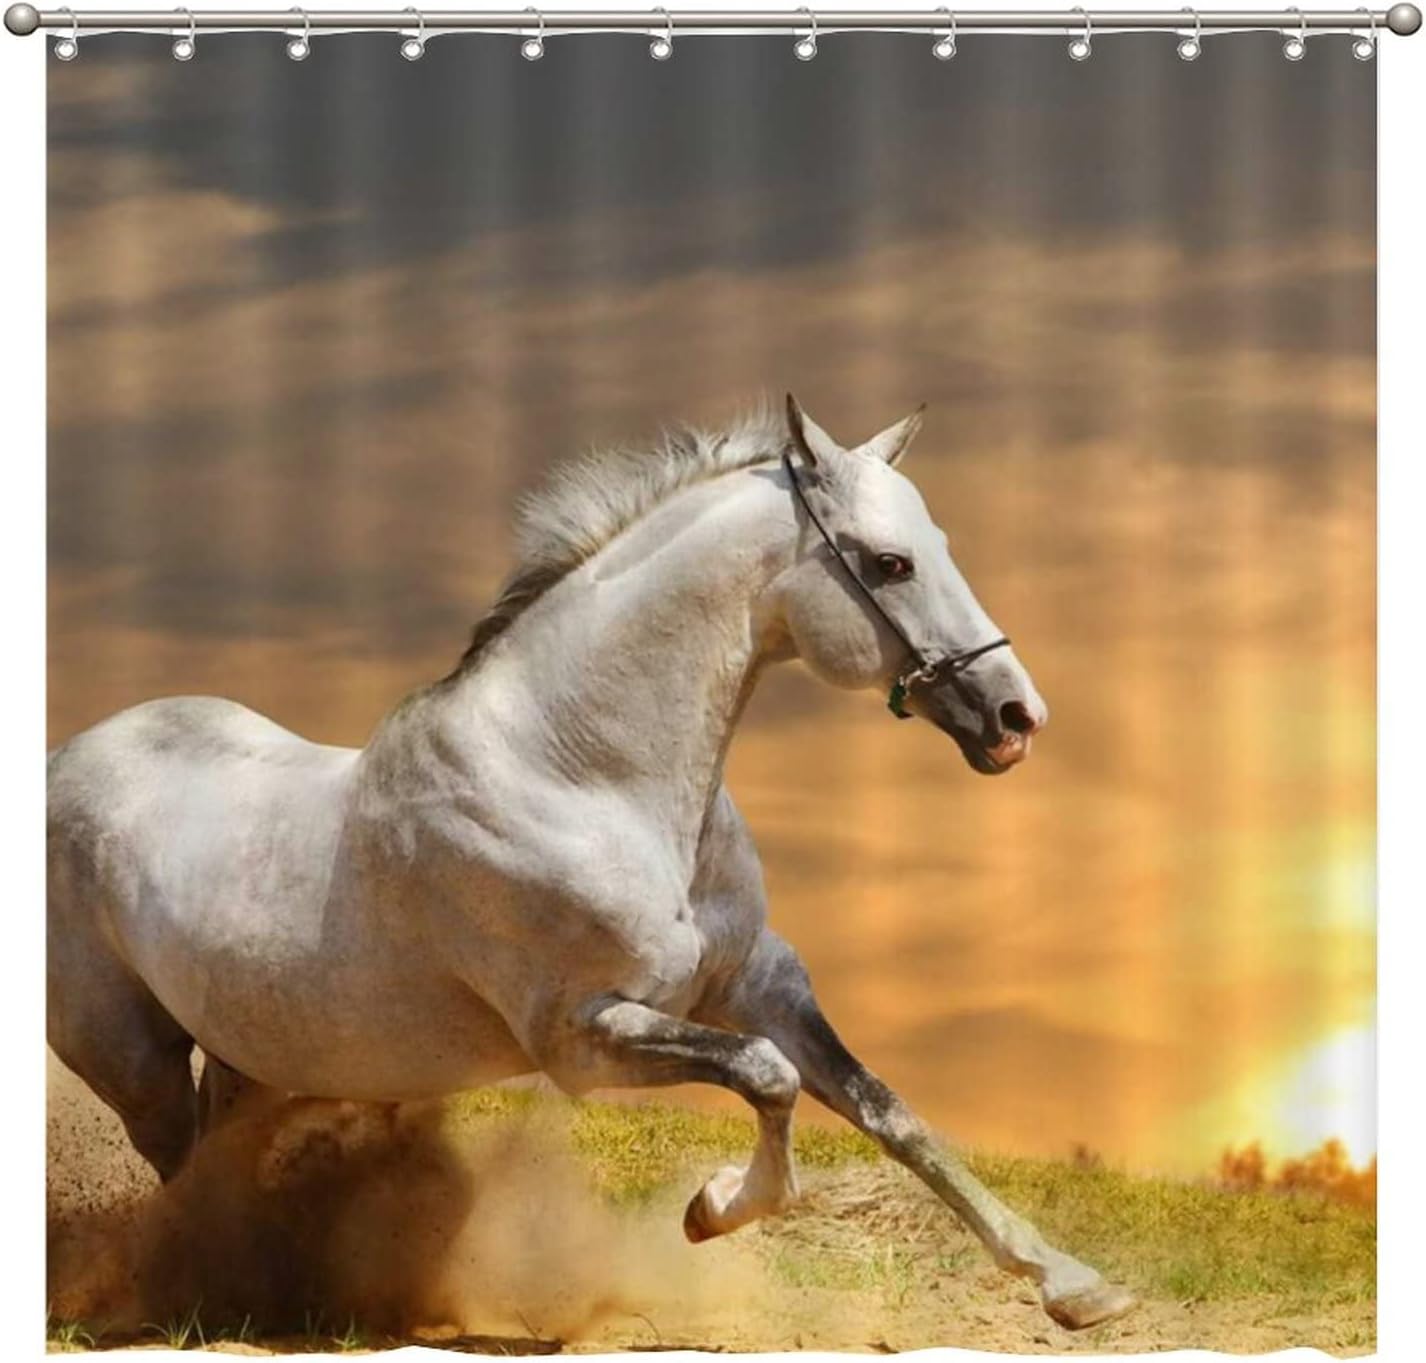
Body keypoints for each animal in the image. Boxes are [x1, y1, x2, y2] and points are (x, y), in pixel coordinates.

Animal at [47, 396, 1134, 1330]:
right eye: (890, 561)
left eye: (936, 545)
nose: (1015, 717)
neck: (583, 776)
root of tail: (63, 758)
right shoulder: (583, 1035)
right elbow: (769, 1075)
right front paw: (713, 1207)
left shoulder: (760, 979)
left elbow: (888, 1111)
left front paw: (1075, 1285)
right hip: (135, 1062)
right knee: (179, 1172)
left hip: (252, 1054)